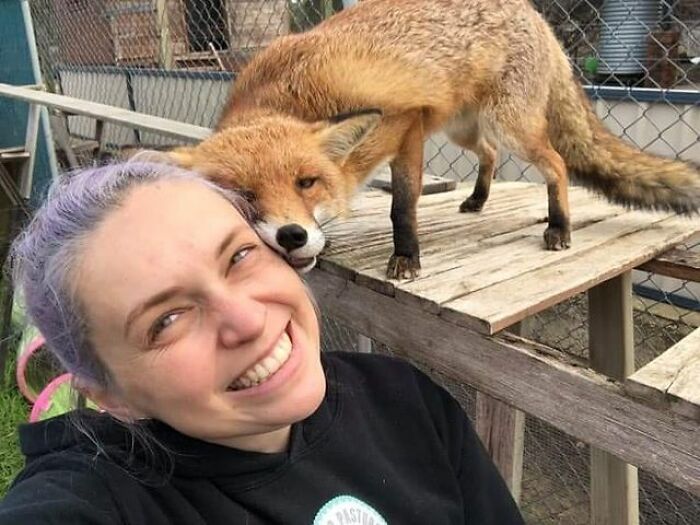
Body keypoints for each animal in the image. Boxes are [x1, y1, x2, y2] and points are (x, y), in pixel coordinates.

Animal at [169, 0, 700, 279]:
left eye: (306, 182)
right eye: (243, 194)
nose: (291, 235)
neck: (289, 95)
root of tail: (534, 14)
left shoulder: (406, 127)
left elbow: (402, 206)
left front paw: (406, 256)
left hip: (510, 125)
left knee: (557, 163)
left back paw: (559, 226)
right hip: (464, 128)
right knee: (490, 154)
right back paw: (478, 199)